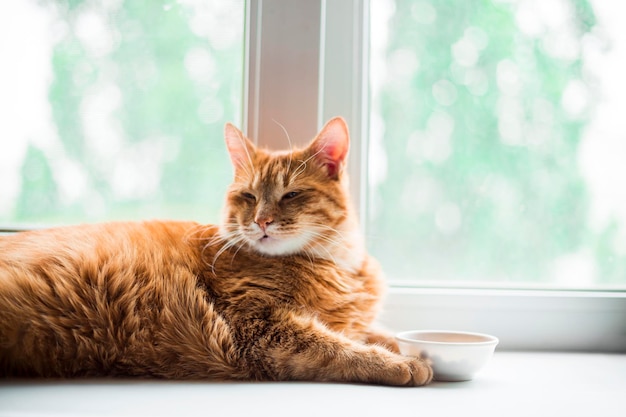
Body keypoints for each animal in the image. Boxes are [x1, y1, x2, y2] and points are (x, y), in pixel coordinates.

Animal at [0, 116, 428, 384]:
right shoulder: (256, 328)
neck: (337, 266)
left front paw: (401, 345)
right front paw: (400, 362)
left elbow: (373, 332)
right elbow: (338, 347)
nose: (262, 221)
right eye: (249, 196)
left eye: (291, 195)